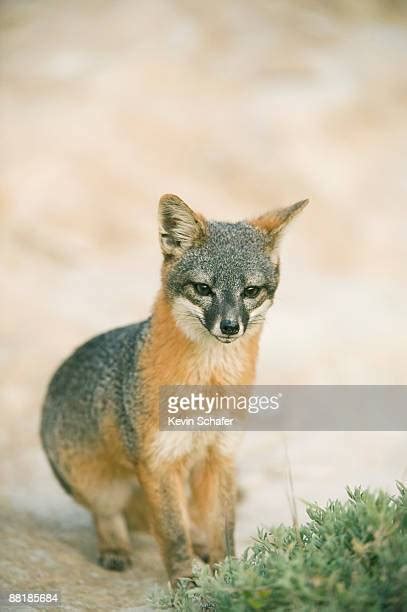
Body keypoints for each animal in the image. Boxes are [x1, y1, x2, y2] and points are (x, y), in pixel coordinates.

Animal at [40, 194, 310, 584]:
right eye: (203, 289)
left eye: (250, 291)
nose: (230, 327)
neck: (208, 386)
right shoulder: (159, 462)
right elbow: (173, 534)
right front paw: (185, 584)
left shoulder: (220, 455)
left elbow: (223, 531)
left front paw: (227, 577)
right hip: (101, 485)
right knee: (108, 515)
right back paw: (115, 548)